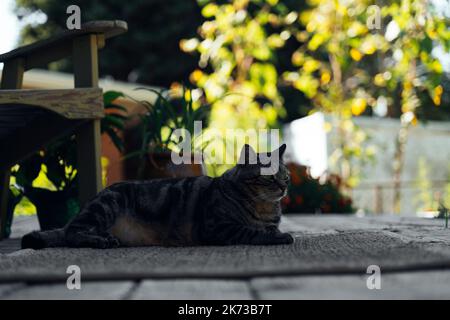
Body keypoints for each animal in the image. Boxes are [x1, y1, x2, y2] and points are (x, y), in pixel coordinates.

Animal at [22, 144, 294, 249]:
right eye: (271, 177)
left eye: (287, 177)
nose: (283, 188)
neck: (264, 207)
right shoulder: (217, 227)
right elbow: (252, 231)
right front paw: (279, 236)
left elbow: (265, 228)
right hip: (107, 205)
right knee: (72, 234)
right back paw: (101, 241)